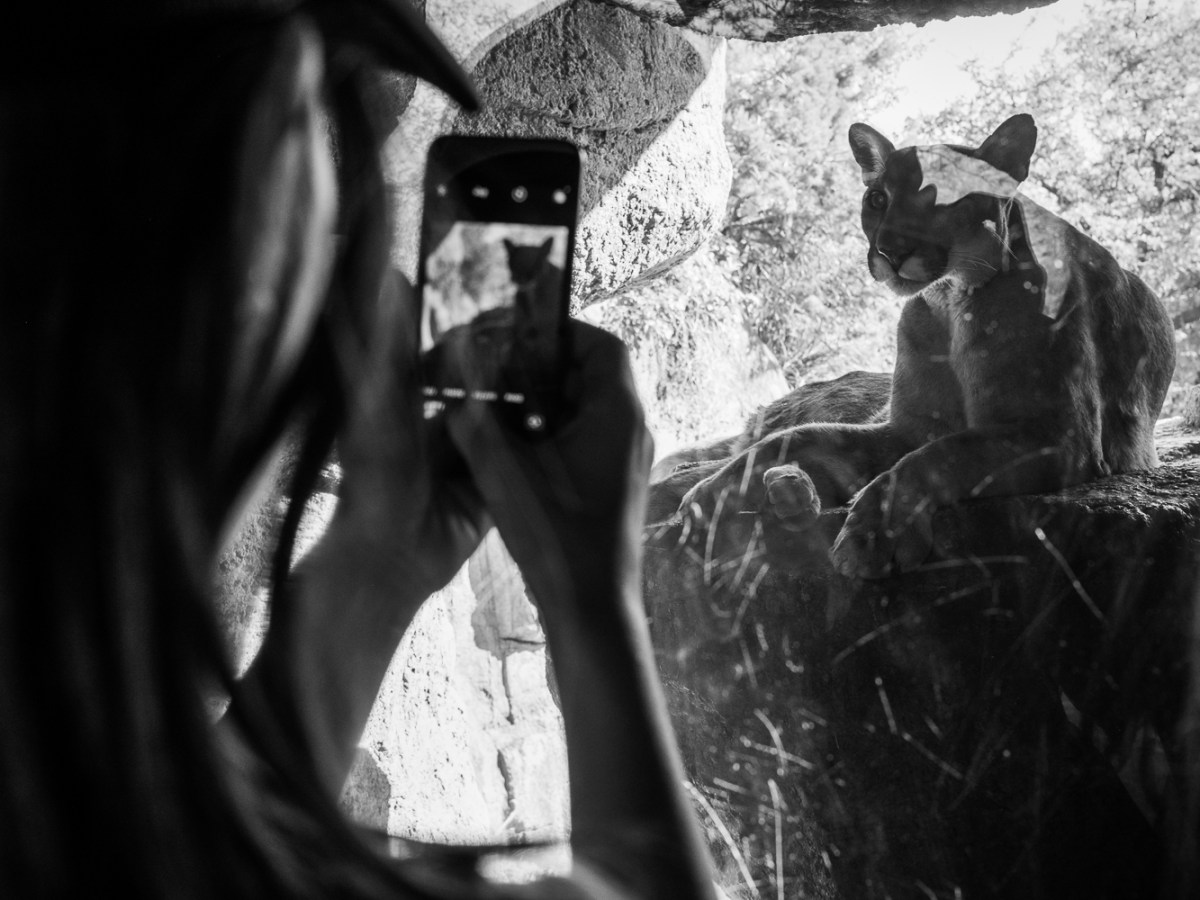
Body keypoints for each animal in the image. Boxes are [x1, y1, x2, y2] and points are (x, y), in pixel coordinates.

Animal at [657, 114, 1171, 578]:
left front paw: (872, 534)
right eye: (877, 198)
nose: (889, 250)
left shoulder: (1060, 435)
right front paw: (711, 495)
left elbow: (940, 456)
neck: (951, 301)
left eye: (942, 196)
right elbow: (799, 438)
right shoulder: (906, 427)